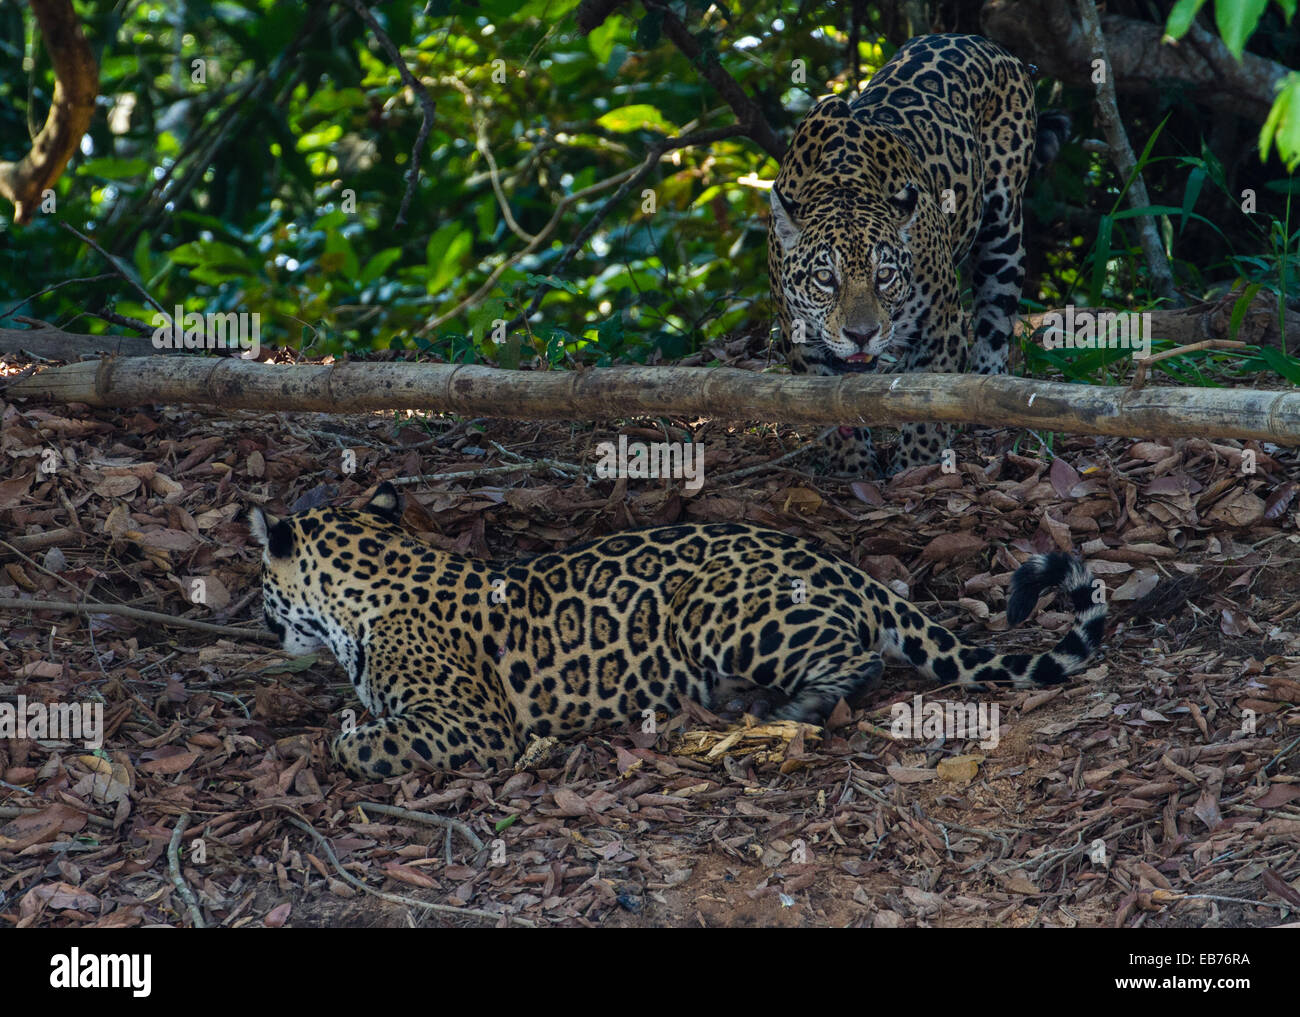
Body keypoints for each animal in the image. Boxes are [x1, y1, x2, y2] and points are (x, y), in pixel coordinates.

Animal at [249, 483, 1106, 780]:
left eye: (262, 583)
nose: (262, 620)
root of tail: (848, 567)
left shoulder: (469, 724)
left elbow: (364, 744)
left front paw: (344, 739)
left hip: (723, 611)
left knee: (859, 661)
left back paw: (777, 709)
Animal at [767, 33, 1070, 477]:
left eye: (885, 275)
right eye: (824, 278)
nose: (861, 335)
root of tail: (980, 40)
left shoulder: (941, 330)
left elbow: (927, 408)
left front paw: (914, 470)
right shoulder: (801, 340)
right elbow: (830, 409)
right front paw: (853, 468)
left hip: (1002, 225)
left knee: (995, 318)